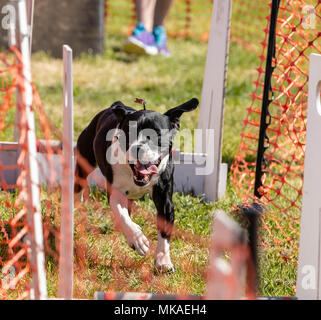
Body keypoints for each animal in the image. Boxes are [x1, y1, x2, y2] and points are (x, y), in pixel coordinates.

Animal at [74, 97, 198, 270]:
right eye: (128, 133)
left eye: (157, 134)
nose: (138, 148)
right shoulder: (116, 193)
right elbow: (123, 216)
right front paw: (138, 240)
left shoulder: (164, 199)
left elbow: (164, 230)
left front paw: (163, 261)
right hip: (84, 160)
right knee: (79, 184)